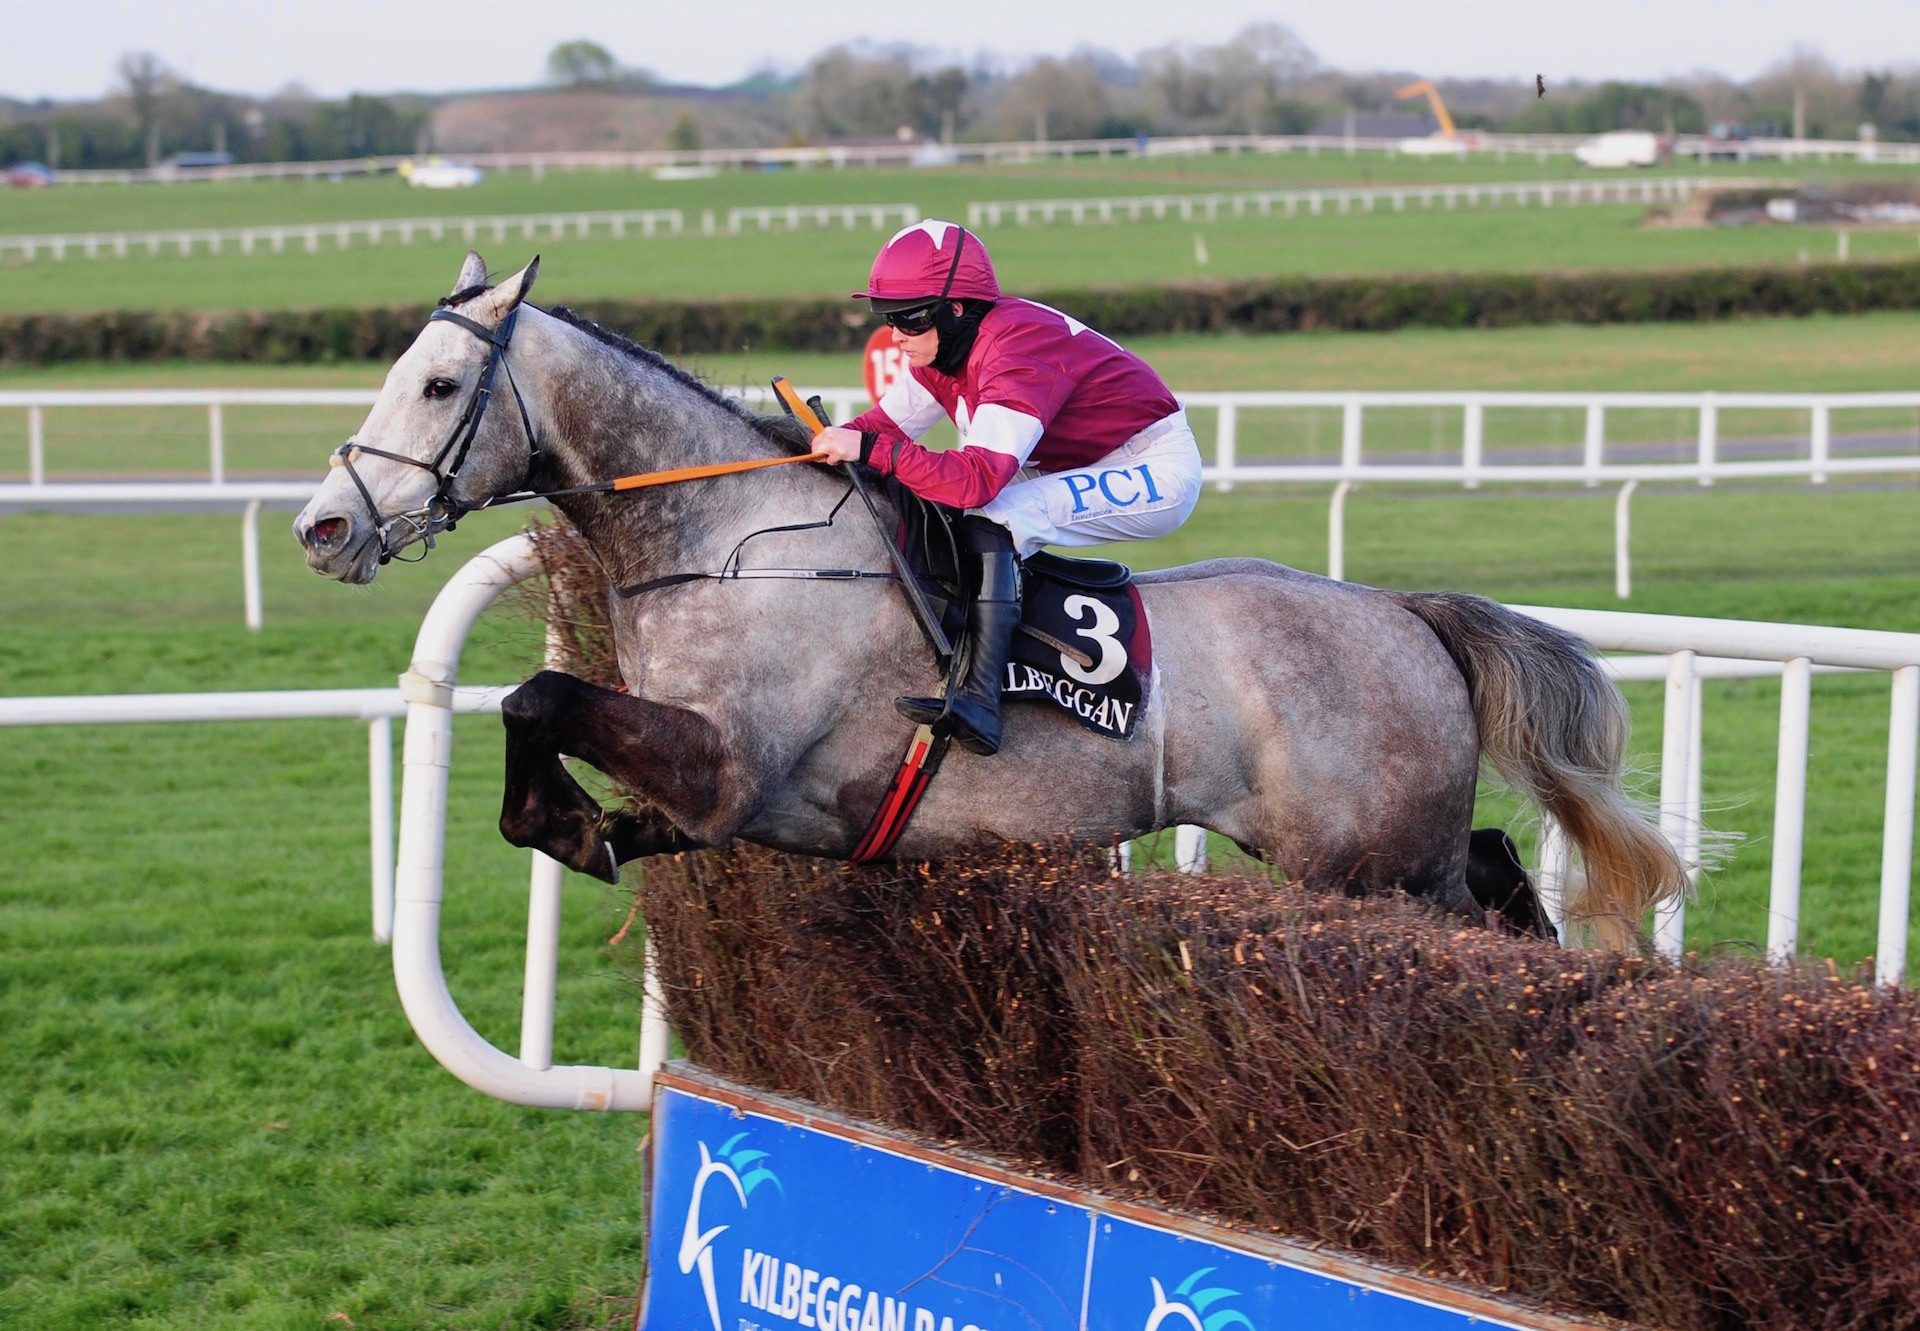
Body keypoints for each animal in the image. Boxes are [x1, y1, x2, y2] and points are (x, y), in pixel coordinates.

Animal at [291, 251, 1689, 944]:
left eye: (435, 385)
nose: (324, 526)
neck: (729, 534)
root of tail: (1404, 615)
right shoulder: (719, 786)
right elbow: (558, 732)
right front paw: (597, 826)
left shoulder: (730, 764)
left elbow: (536, 694)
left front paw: (574, 824)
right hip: (1373, 850)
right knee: (1500, 862)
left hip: (1373, 864)